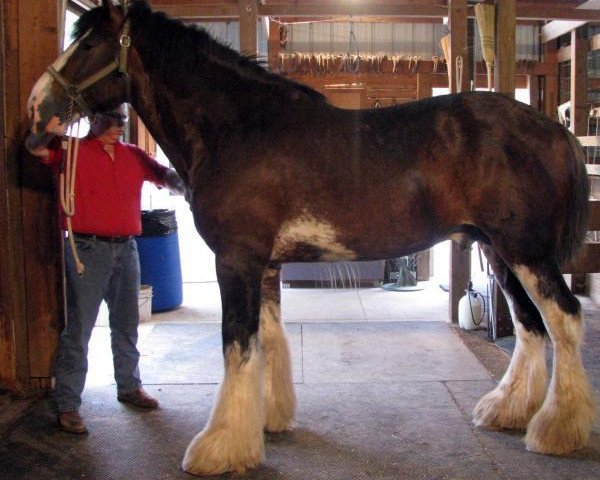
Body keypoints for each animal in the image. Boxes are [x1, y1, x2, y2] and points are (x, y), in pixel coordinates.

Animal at [24, 0, 596, 472]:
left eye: (90, 44)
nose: (36, 110)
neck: (239, 129)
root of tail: (552, 129)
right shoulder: (266, 264)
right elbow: (267, 339)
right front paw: (267, 421)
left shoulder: (236, 259)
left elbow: (237, 344)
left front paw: (218, 448)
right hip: (497, 250)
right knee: (530, 326)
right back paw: (507, 411)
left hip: (526, 252)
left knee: (564, 319)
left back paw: (556, 431)